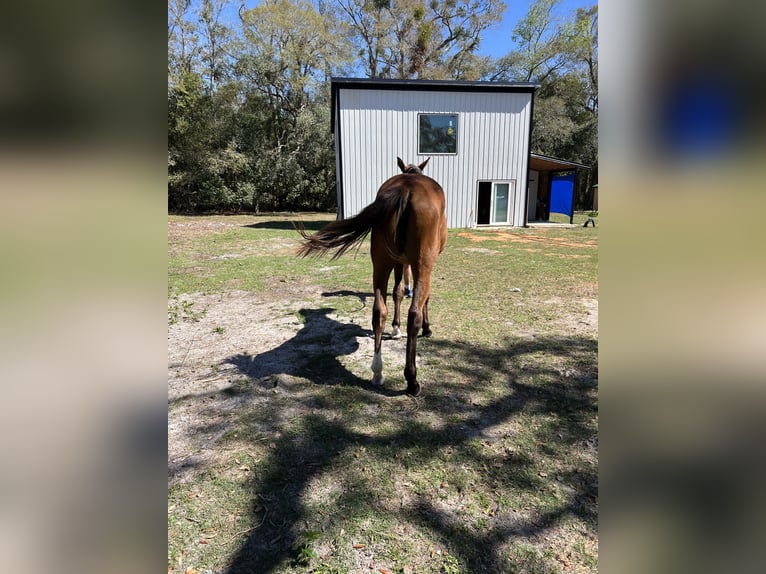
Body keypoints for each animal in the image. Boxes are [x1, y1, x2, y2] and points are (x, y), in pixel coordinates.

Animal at [296, 160, 450, 398]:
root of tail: (406, 189)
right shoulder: (420, 265)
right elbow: (423, 298)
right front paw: (427, 328)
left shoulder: (399, 261)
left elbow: (397, 292)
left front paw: (395, 328)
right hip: (422, 264)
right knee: (413, 313)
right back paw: (412, 380)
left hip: (380, 263)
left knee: (379, 311)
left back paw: (377, 372)